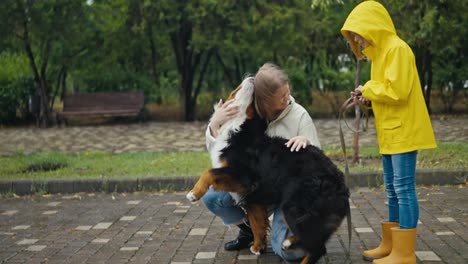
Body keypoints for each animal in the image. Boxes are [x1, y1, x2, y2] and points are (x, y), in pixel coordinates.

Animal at [185, 79, 350, 264]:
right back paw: (288, 242)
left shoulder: (244, 176)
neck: (239, 128)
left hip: (294, 207)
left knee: (317, 248)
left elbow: (209, 172)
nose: (251, 78)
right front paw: (258, 246)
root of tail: (341, 185)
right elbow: (256, 222)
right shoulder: (251, 193)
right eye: (236, 89)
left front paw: (194, 193)